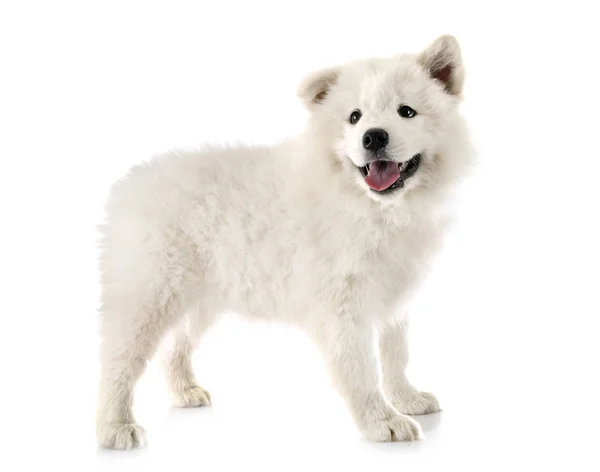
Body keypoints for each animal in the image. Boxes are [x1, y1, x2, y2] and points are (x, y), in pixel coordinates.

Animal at [96, 35, 474, 448]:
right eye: (354, 117)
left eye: (407, 112)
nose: (373, 137)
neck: (373, 207)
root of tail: (128, 185)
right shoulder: (343, 306)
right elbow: (360, 369)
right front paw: (382, 421)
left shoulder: (394, 296)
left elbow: (396, 355)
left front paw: (407, 399)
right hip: (149, 295)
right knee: (117, 361)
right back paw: (115, 427)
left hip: (200, 297)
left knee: (175, 346)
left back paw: (184, 391)